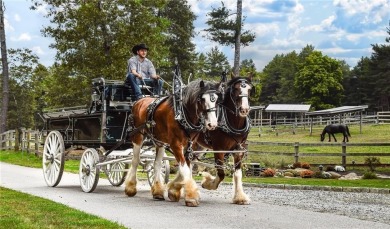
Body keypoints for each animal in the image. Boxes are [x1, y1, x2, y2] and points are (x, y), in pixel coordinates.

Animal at [126, 78, 221, 206]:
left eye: (216, 100)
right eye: (202, 99)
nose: (212, 124)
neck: (182, 114)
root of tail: (139, 101)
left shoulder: (189, 147)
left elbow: (186, 169)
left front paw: (175, 191)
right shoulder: (175, 145)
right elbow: (185, 169)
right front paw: (191, 197)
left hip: (159, 140)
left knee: (157, 164)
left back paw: (158, 192)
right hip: (137, 136)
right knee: (135, 160)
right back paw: (130, 188)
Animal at [195, 76, 253, 204]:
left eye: (249, 89)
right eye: (235, 89)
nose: (244, 109)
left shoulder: (239, 150)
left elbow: (238, 174)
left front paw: (240, 197)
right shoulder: (219, 149)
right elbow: (221, 173)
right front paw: (208, 183)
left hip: (198, 146)